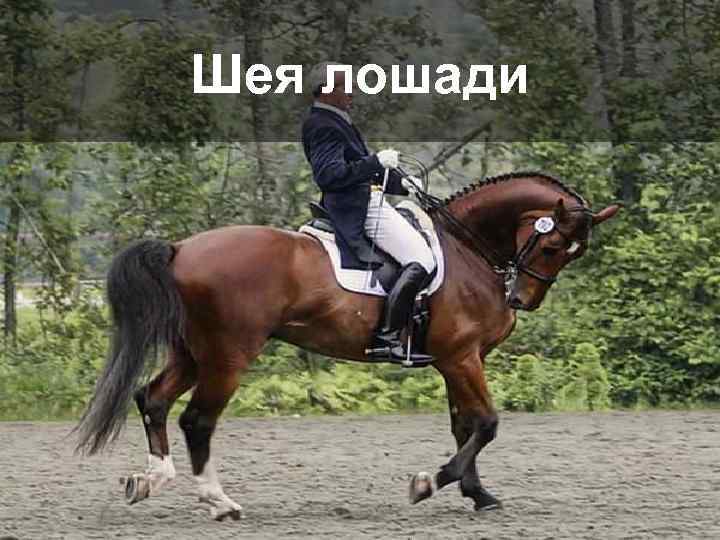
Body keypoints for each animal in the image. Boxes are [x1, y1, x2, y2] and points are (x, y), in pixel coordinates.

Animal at [75, 171, 620, 521]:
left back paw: (150, 480)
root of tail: (180, 248)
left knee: (153, 399)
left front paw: (478, 494)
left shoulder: (455, 361)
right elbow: (485, 424)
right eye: (552, 245)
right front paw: (428, 484)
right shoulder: (462, 357)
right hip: (229, 356)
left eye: (573, 253)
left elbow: (463, 425)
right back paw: (219, 503)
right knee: (197, 420)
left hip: (194, 353)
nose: (521, 299)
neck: (466, 250)